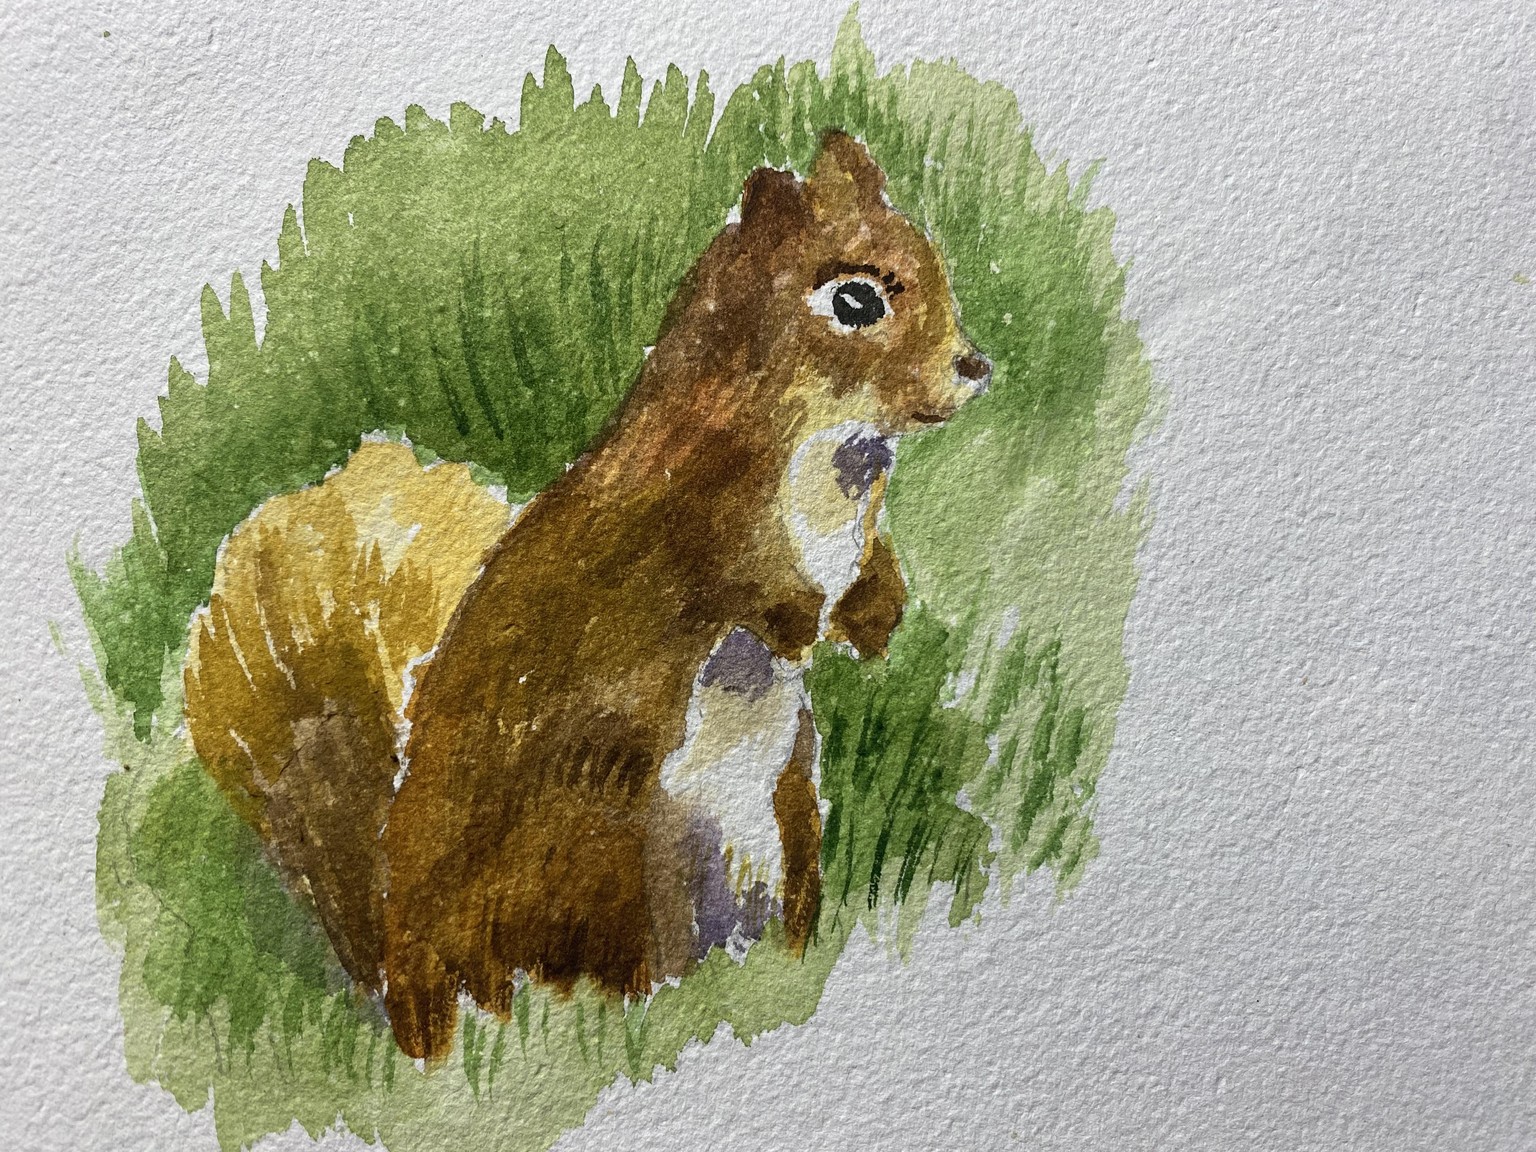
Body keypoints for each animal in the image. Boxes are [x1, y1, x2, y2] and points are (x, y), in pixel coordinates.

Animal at [182, 131, 991, 1062]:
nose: (976, 367)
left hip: (783, 824)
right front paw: (805, 617)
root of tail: (408, 983)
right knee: (599, 984)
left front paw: (876, 612)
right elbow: (745, 586)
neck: (835, 457)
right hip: (604, 857)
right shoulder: (688, 520)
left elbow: (867, 572)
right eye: (855, 300)